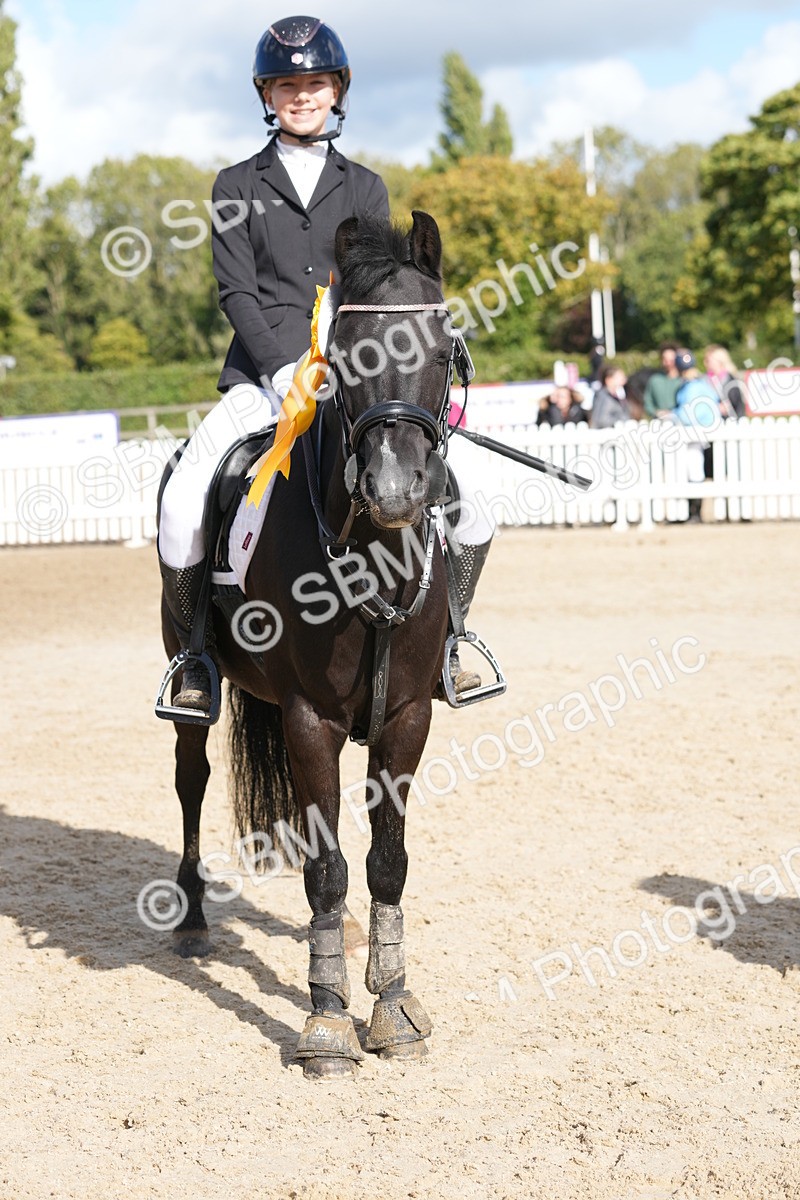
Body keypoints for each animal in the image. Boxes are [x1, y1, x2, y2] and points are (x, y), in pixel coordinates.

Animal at [160, 210, 462, 1079]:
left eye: (441, 349)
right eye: (350, 354)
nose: (395, 490)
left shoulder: (405, 717)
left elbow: (386, 861)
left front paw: (392, 1008)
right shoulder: (310, 717)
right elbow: (328, 869)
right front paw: (326, 1022)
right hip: (193, 682)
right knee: (192, 782)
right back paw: (191, 917)